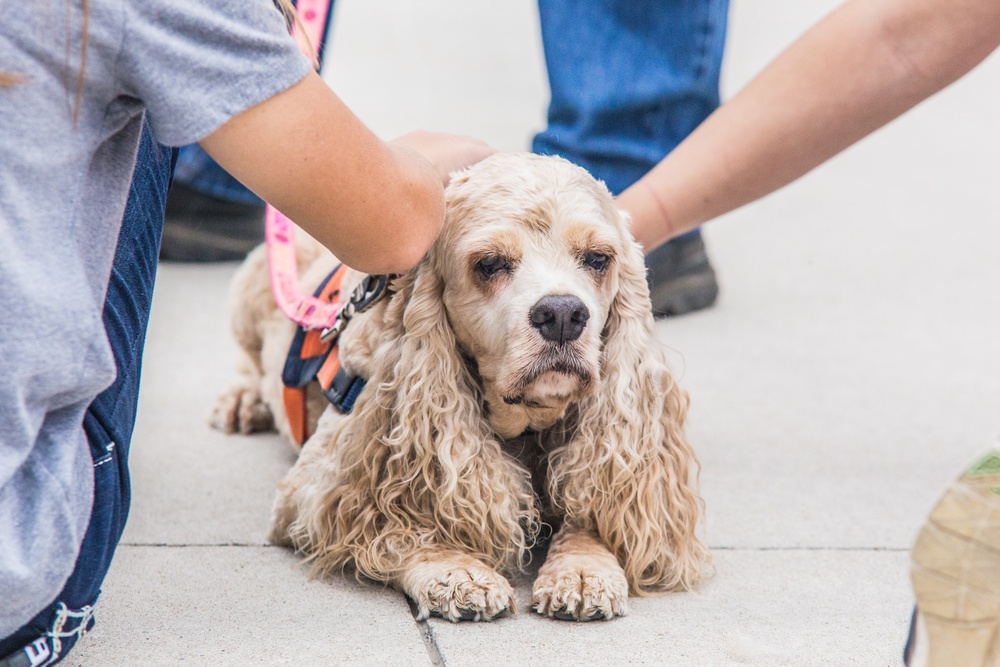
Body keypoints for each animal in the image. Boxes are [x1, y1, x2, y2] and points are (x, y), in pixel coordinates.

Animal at [213, 154, 712, 624]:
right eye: (489, 264)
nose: (563, 315)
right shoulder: (316, 491)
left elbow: (591, 515)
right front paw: (457, 572)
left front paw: (584, 569)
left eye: (597, 259)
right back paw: (242, 401)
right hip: (248, 291)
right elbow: (400, 528)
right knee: (248, 360)